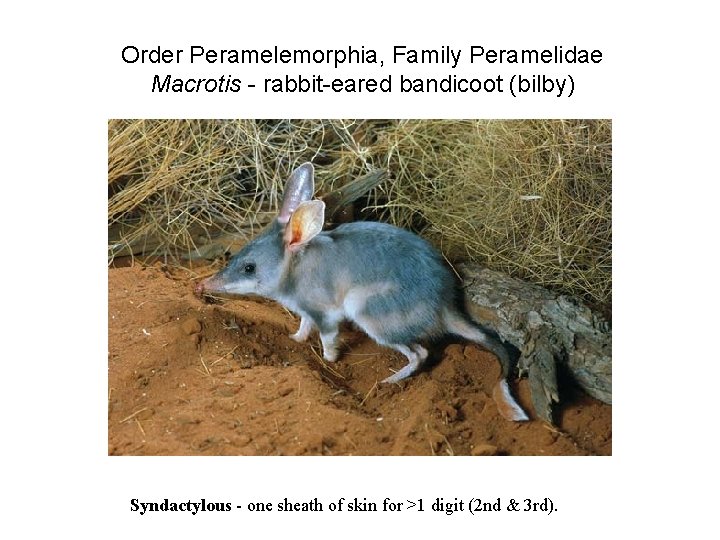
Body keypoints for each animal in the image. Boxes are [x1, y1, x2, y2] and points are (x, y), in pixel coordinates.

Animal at [196, 162, 529, 421]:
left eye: (249, 268)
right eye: (237, 256)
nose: (202, 285)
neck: (294, 269)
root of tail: (446, 308)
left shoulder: (325, 313)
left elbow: (327, 337)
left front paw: (329, 360)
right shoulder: (306, 310)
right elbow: (304, 325)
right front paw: (295, 339)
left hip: (368, 312)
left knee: (420, 353)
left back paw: (389, 381)